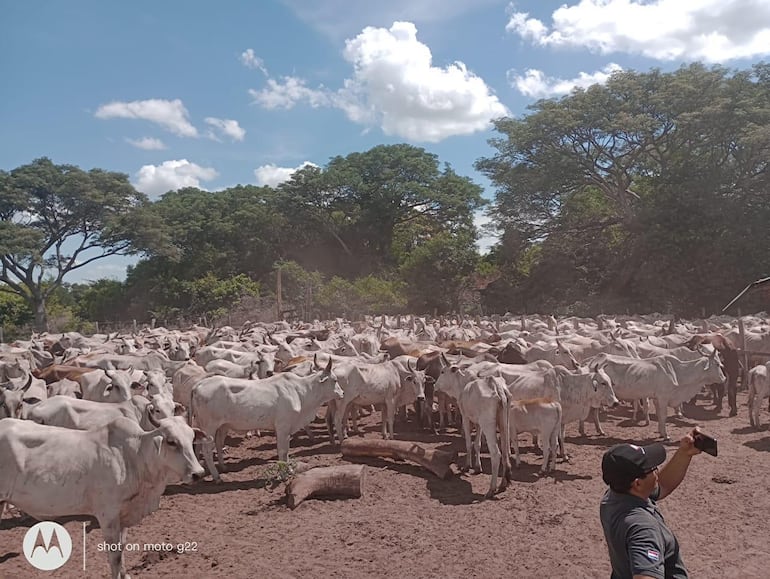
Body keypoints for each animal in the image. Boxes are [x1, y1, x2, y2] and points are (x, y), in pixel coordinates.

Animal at [0, 416, 207, 579]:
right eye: (171, 441)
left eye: (191, 438)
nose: (198, 473)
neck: (133, 457)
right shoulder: (107, 514)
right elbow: (114, 555)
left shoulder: (123, 515)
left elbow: (122, 548)